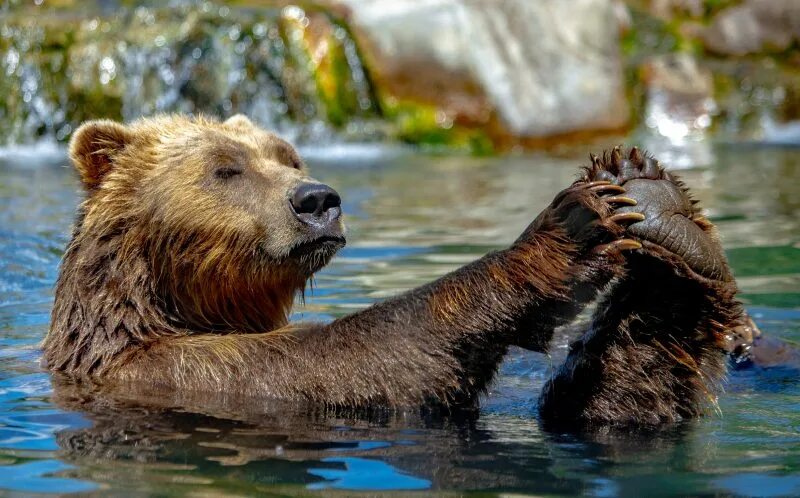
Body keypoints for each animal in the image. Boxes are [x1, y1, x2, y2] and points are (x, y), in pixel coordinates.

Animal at [42, 115, 744, 426]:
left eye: (288, 156)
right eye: (225, 168)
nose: (316, 199)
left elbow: (612, 410)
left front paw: (649, 200)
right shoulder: (184, 372)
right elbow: (363, 360)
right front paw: (564, 228)